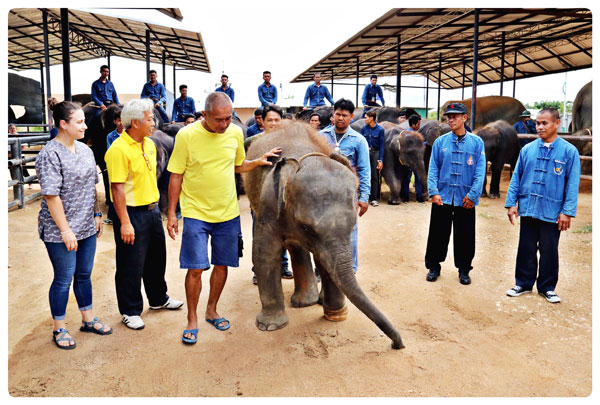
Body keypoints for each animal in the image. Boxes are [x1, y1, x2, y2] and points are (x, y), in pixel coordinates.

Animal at [243, 121, 404, 348]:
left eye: (353, 225)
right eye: (307, 227)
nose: (397, 344)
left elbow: (326, 260)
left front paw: (335, 315)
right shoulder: (268, 205)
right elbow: (265, 251)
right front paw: (269, 327)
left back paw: (309, 301)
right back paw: (304, 302)